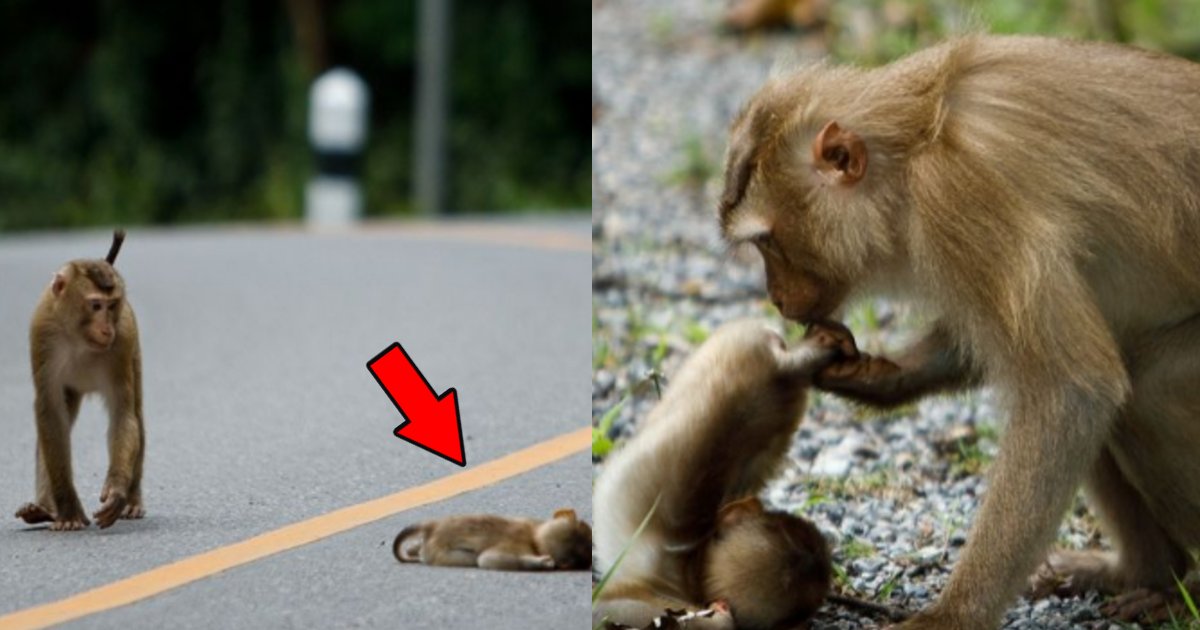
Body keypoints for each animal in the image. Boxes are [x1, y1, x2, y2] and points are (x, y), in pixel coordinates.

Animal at [13, 228, 145, 528]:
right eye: (95, 305)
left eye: (112, 305)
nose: (107, 329)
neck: (78, 338)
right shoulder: (42, 331)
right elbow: (50, 412)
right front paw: (68, 511)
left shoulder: (123, 339)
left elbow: (123, 413)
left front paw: (117, 490)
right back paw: (43, 509)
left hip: (133, 350)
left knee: (137, 414)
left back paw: (133, 501)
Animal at [393, 508, 595, 571]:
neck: (535, 538)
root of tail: (432, 526)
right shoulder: (520, 544)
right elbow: (487, 559)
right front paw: (541, 563)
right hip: (437, 553)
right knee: (470, 558)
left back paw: (413, 549)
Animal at [715, 35, 1200, 628]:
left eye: (767, 243)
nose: (777, 298)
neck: (917, 137)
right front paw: (878, 377)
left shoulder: (958, 196)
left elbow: (1071, 389)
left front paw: (953, 614)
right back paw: (1145, 572)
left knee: (1150, 390)